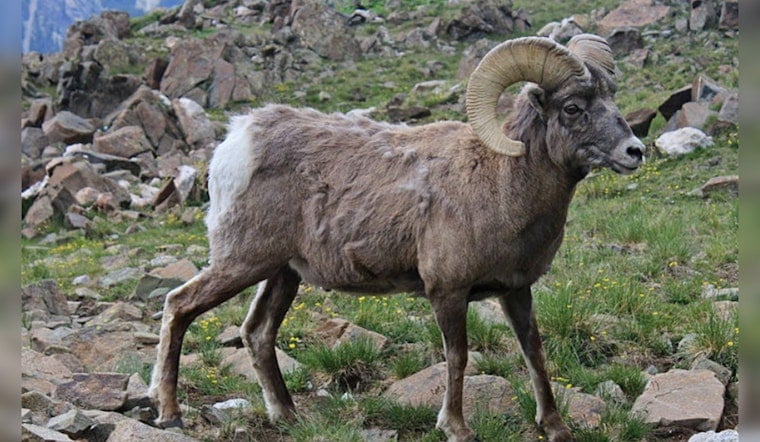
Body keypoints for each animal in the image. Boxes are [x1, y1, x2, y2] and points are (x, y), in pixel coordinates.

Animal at [149, 33, 645, 442]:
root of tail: (237, 142)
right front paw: (457, 428)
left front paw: (556, 427)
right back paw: (170, 415)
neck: (500, 184)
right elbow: (458, 357)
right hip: (241, 263)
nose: (634, 151)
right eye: (573, 108)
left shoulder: (516, 290)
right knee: (180, 306)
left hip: (282, 274)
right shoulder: (447, 291)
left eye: (611, 98)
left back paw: (288, 416)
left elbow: (534, 353)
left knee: (257, 332)